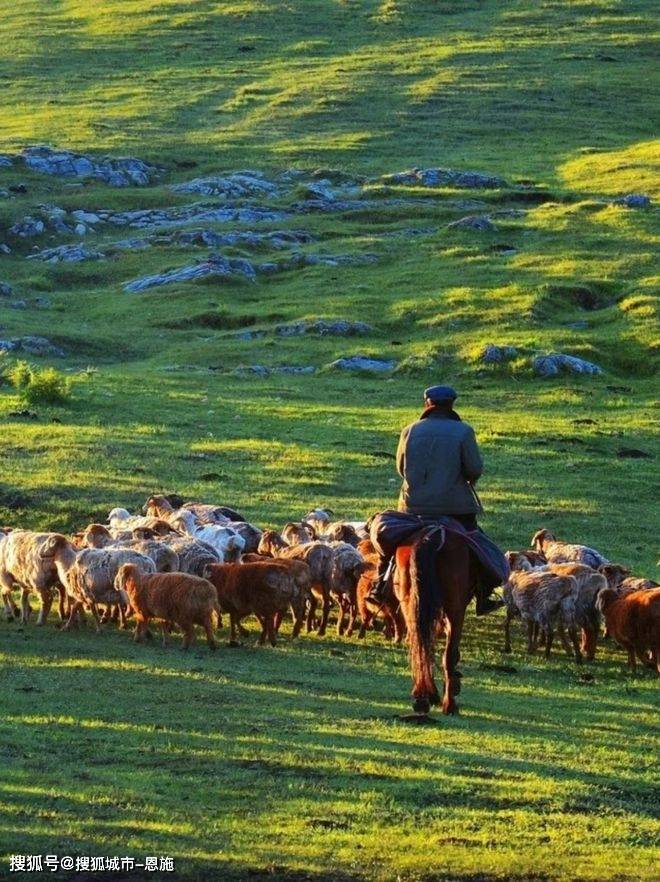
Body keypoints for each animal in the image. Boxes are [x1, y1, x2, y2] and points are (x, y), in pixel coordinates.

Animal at [394, 524, 476, 712]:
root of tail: (430, 536)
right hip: (455, 609)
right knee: (447, 655)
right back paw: (449, 704)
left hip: (410, 606)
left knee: (420, 645)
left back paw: (422, 697)